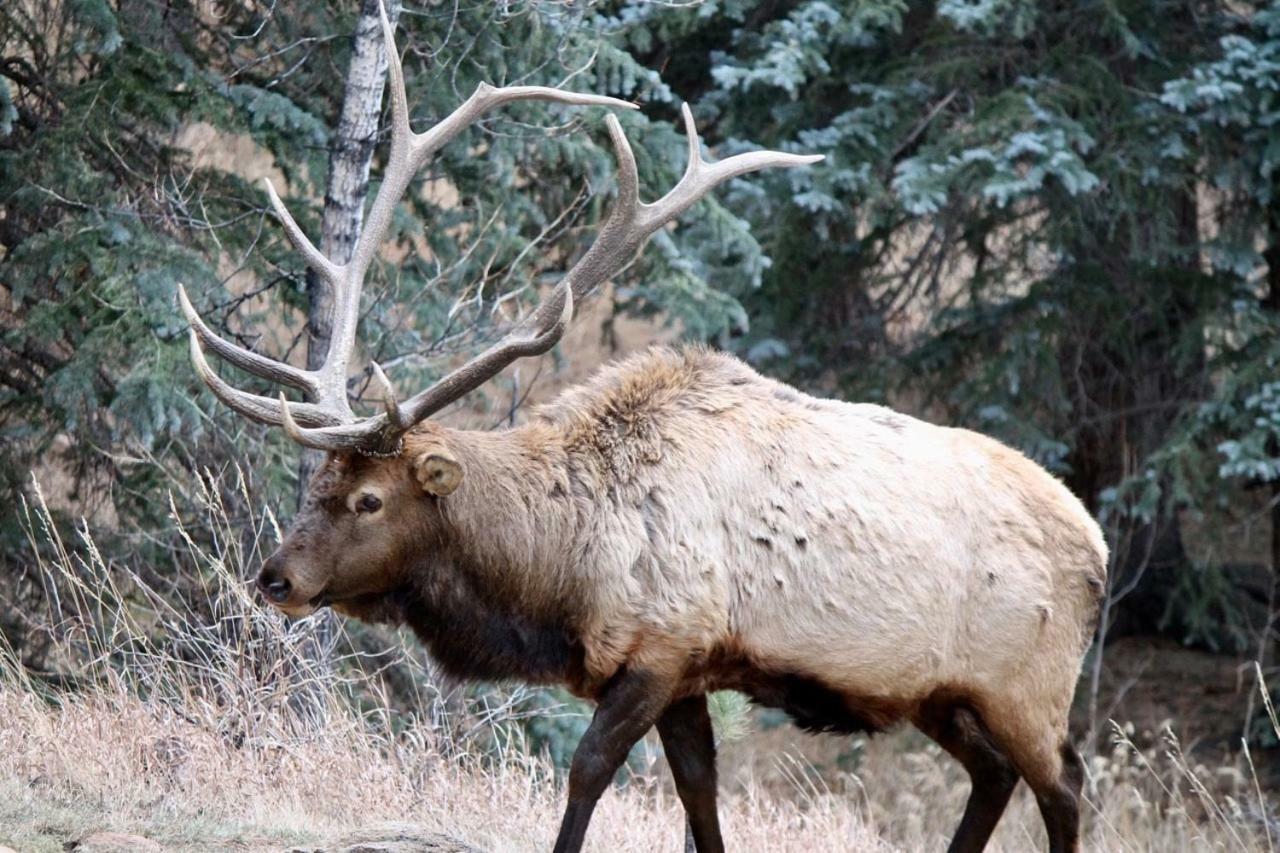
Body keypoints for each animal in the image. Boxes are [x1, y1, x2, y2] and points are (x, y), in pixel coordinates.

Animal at [177, 8, 1111, 850]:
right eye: (318, 483)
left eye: (369, 498)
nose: (275, 578)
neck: (557, 570)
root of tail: (1098, 545)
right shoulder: (689, 670)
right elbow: (699, 795)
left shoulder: (662, 645)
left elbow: (588, 770)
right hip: (944, 692)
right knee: (994, 774)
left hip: (1029, 681)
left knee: (1064, 784)